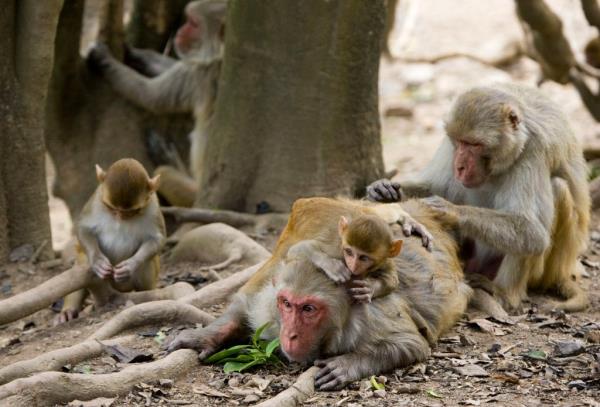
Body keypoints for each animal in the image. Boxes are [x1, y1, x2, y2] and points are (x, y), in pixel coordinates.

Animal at [57, 159, 165, 322]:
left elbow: (157, 239)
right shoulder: (96, 199)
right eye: (110, 207)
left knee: (148, 262)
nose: (120, 217)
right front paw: (97, 261)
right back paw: (69, 310)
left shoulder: (153, 205)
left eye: (132, 212)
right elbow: (83, 228)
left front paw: (130, 266)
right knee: (82, 263)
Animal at [88, 0, 227, 207]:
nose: (181, 31)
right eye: (188, 20)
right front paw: (139, 55)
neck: (222, 53)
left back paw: (170, 163)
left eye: (193, 23)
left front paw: (104, 60)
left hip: (193, 196)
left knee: (164, 173)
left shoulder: (200, 74)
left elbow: (151, 96)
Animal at [166, 199, 472, 390]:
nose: (290, 335)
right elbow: (245, 303)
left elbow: (411, 343)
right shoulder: (268, 303)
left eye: (309, 309)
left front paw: (347, 365)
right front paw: (205, 335)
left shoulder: (370, 316)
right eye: (287, 304)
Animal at [366, 83, 592, 312]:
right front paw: (383, 189)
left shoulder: (535, 151)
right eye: (460, 142)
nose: (459, 166)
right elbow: (435, 186)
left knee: (556, 189)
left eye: (475, 145)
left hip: (546, 271)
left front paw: (449, 210)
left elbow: (533, 232)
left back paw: (504, 293)